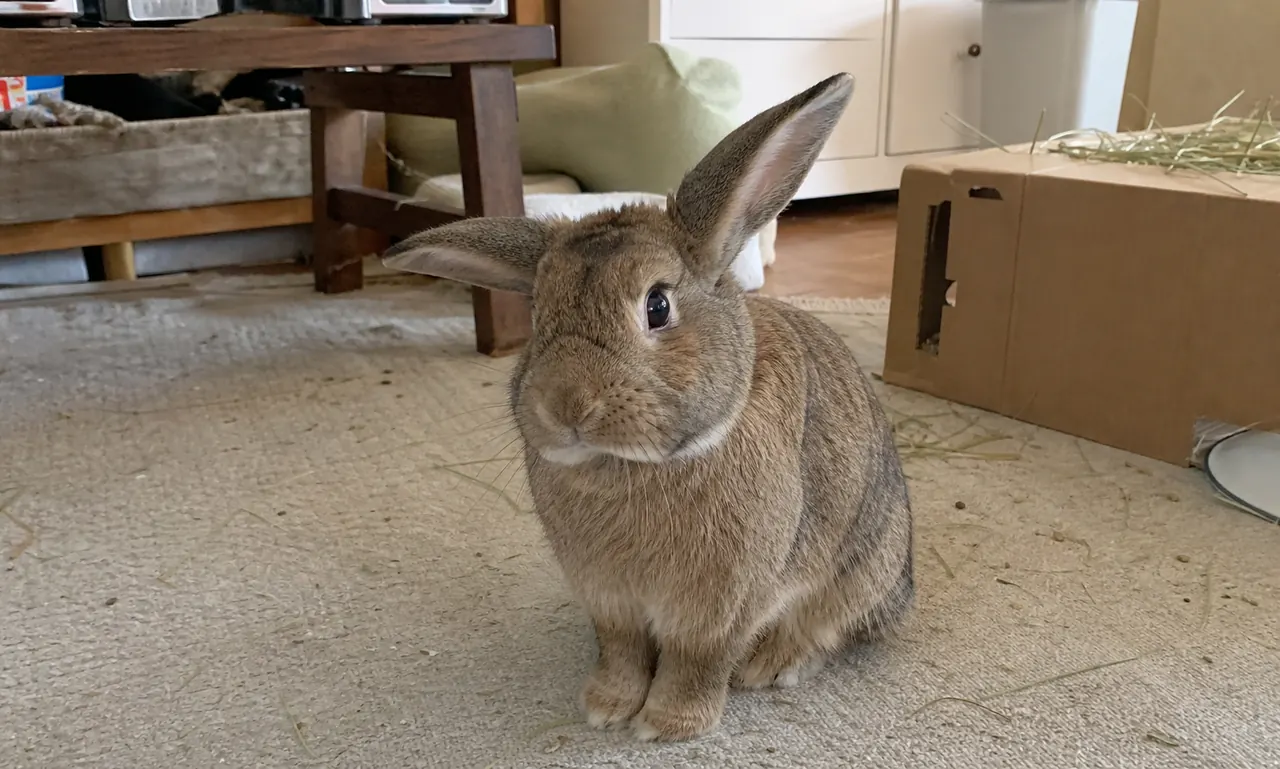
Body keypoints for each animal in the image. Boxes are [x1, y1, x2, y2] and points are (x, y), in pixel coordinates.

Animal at [381, 73, 915, 742]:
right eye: (537, 315)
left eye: (657, 306)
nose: (566, 405)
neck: (632, 467)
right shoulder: (609, 602)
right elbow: (622, 652)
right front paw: (606, 707)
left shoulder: (721, 608)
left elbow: (698, 660)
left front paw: (667, 725)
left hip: (860, 570)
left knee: (828, 629)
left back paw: (772, 665)